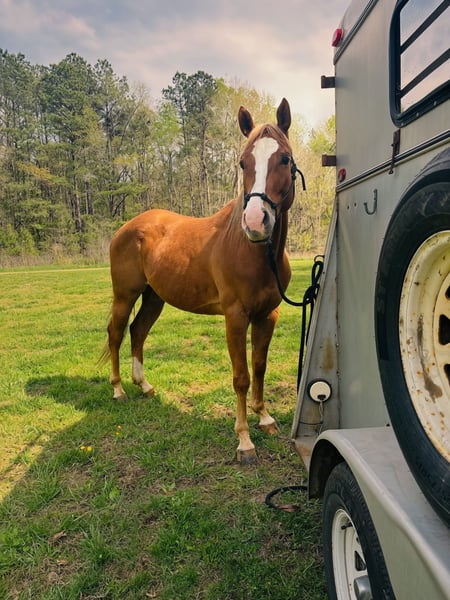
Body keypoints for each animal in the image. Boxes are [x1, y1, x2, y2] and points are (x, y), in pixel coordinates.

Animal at [105, 98, 299, 463]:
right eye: (243, 162)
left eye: (284, 158)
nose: (256, 222)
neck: (252, 251)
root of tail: (128, 227)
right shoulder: (235, 317)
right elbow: (241, 376)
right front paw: (244, 441)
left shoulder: (268, 315)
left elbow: (260, 367)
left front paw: (265, 418)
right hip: (125, 295)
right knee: (116, 333)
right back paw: (119, 389)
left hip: (154, 297)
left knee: (138, 331)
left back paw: (145, 386)